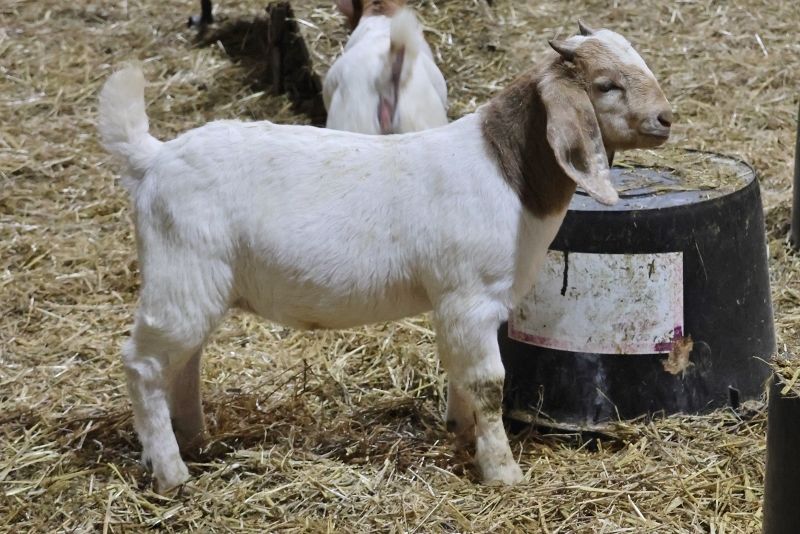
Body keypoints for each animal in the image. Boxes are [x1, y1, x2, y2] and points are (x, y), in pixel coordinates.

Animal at [97, 22, 672, 494]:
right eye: (605, 85)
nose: (666, 118)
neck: (508, 172)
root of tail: (153, 158)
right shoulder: (470, 297)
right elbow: (488, 384)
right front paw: (503, 472)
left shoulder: (456, 305)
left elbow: (460, 374)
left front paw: (460, 431)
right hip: (179, 274)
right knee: (144, 365)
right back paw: (170, 471)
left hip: (195, 286)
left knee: (184, 361)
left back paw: (193, 439)